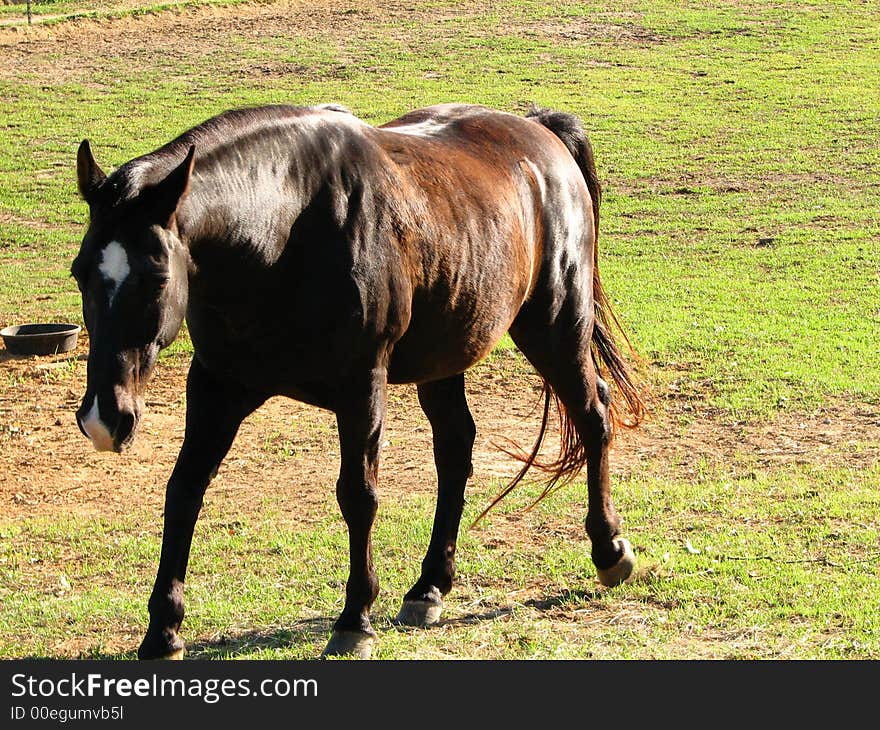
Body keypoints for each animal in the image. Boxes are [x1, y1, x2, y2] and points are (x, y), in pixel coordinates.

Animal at [72, 104, 644, 660]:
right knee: (456, 450)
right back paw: (429, 586)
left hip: (554, 326)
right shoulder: (217, 387)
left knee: (594, 416)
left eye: (156, 278)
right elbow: (184, 490)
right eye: (80, 272)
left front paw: (355, 620)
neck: (285, 233)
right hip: (447, 355)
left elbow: (358, 495)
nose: (105, 417)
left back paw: (609, 550)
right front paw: (162, 632)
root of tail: (538, 131)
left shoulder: (362, 387)